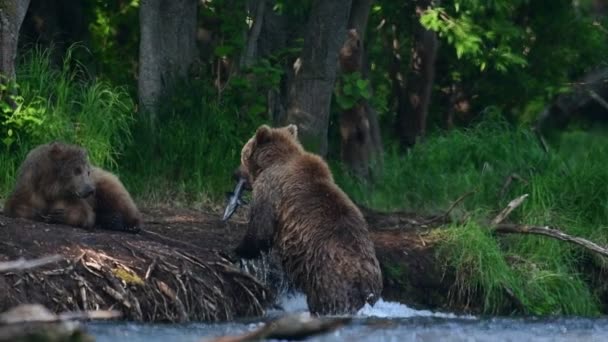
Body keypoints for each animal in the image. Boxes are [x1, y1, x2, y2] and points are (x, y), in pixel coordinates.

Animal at [3, 140, 141, 231]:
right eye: (77, 170)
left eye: (87, 172)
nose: (90, 190)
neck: (51, 188)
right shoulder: (29, 187)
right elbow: (17, 206)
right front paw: (40, 213)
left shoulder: (71, 197)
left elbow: (84, 213)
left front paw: (59, 215)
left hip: (105, 181)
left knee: (119, 198)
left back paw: (127, 224)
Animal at [232, 124, 380, 314]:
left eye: (243, 154)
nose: (235, 173)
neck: (273, 162)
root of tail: (363, 284)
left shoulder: (270, 191)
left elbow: (260, 229)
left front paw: (239, 250)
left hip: (325, 279)